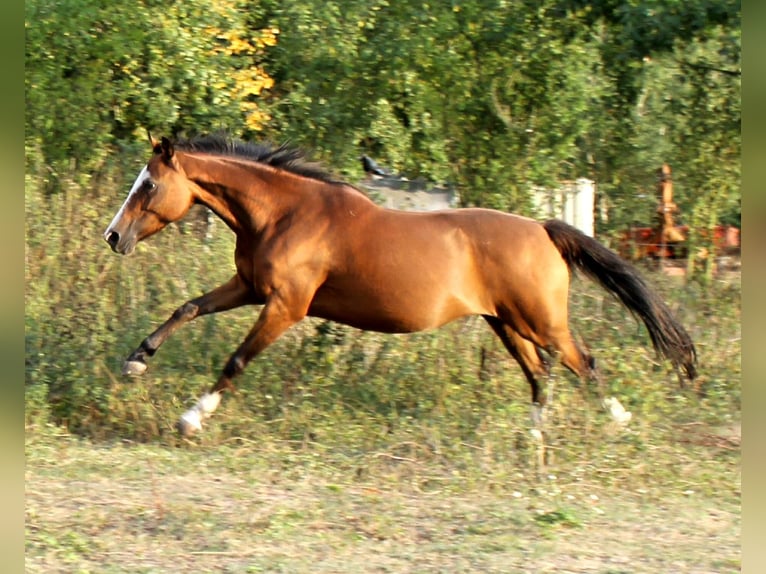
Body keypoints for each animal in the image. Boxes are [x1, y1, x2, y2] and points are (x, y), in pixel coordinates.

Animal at [103, 133, 697, 437]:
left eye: (149, 184)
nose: (113, 236)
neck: (284, 214)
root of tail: (544, 229)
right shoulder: (249, 286)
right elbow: (187, 308)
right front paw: (136, 361)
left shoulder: (286, 306)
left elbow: (237, 360)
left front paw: (191, 418)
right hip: (507, 325)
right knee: (541, 375)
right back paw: (533, 439)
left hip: (540, 321)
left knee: (583, 363)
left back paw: (617, 421)